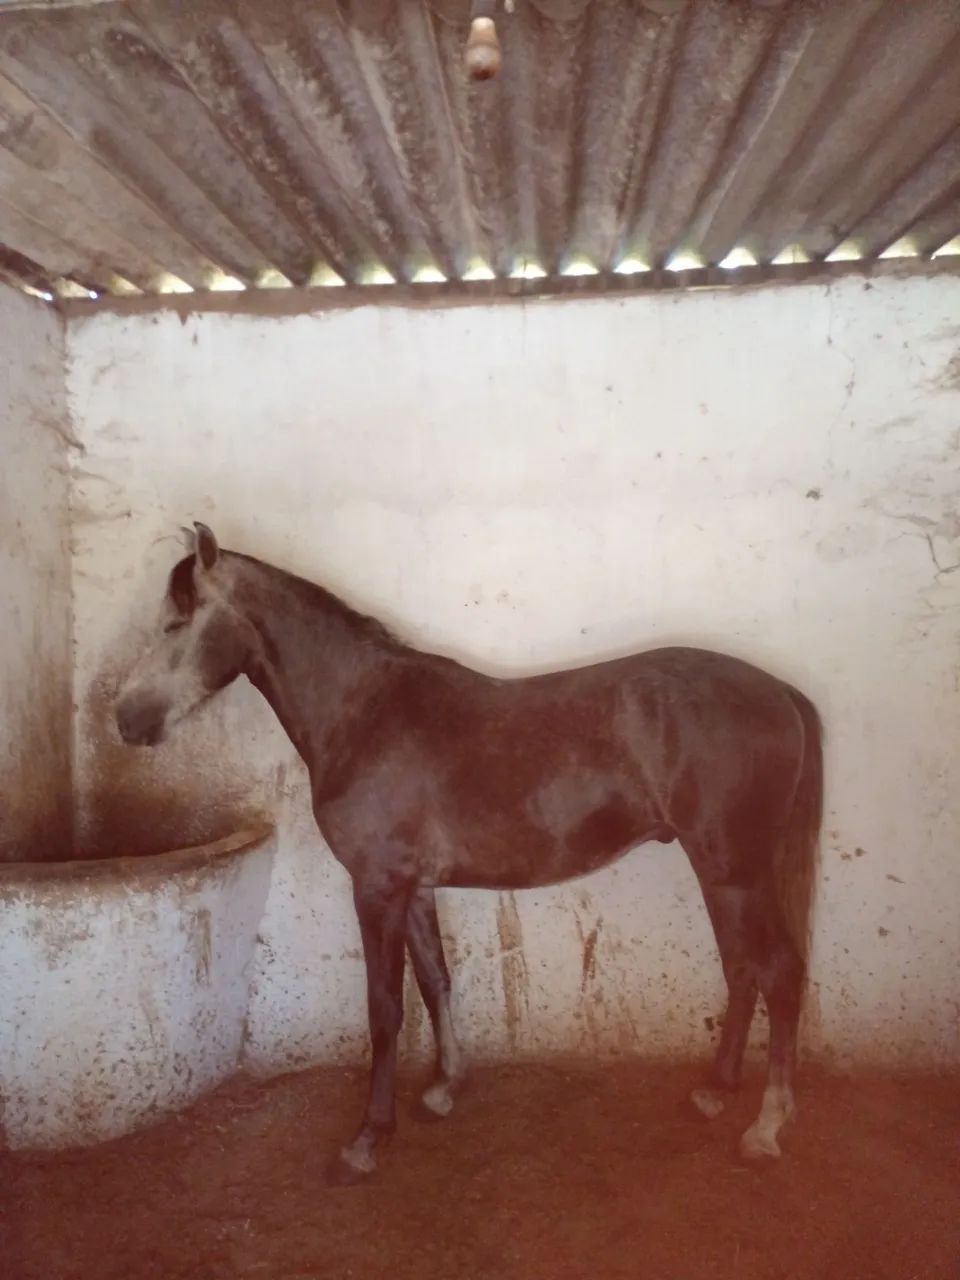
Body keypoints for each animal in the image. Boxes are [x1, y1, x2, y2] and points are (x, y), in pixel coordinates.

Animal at [115, 523, 822, 1184]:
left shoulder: (377, 888)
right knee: (743, 969)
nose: (124, 719)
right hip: (724, 873)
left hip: (734, 872)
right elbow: (436, 979)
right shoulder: (415, 888)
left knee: (779, 972)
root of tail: (780, 691)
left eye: (177, 621)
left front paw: (366, 1140)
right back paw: (714, 1091)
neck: (365, 712)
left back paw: (765, 1127)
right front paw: (444, 1088)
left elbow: (385, 1009)